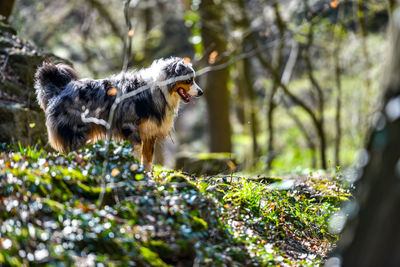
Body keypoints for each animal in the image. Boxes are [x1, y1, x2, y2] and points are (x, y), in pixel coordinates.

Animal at [34, 57, 203, 173]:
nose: (201, 92)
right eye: (189, 80)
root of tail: (59, 90)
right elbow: (136, 154)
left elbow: (147, 159)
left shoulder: (150, 132)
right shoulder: (131, 128)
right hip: (77, 133)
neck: (160, 89)